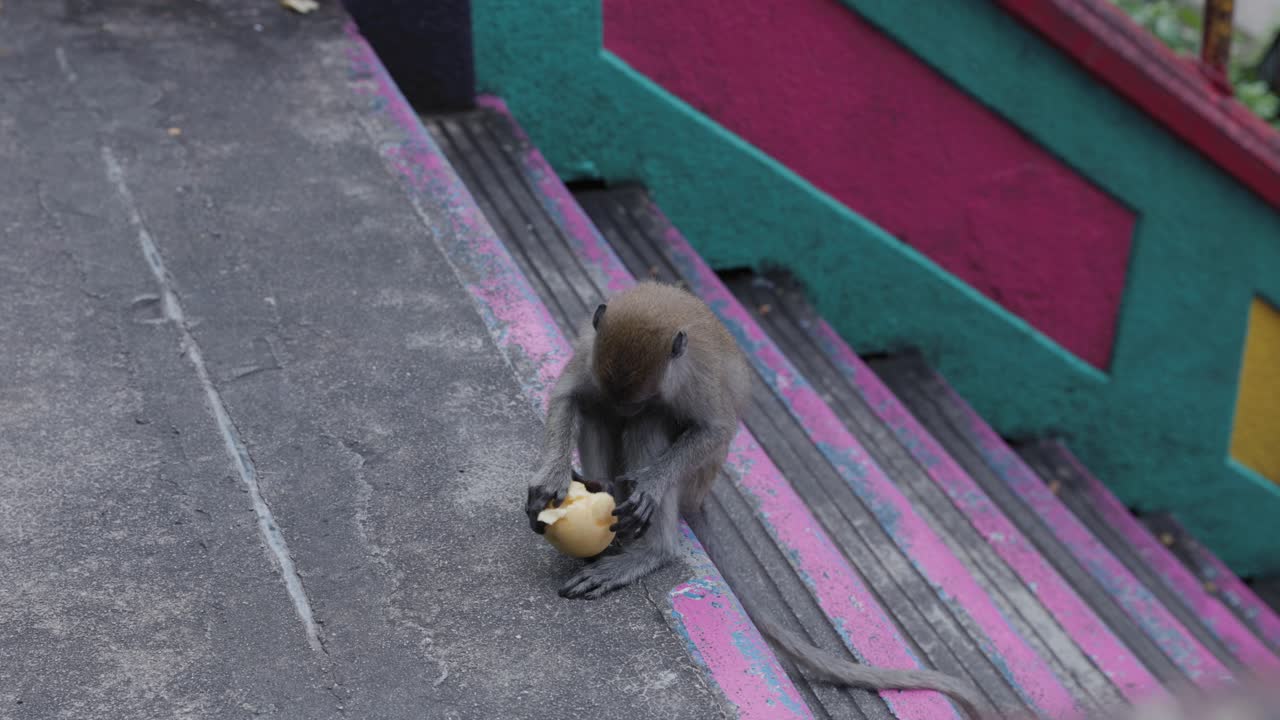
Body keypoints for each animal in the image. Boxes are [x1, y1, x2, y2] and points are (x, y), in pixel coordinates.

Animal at [525, 281, 988, 718]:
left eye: (638, 398)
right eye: (621, 393)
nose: (627, 408)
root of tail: (701, 497)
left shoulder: (693, 380)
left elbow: (713, 429)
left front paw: (652, 484)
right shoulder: (591, 354)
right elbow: (572, 396)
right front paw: (551, 480)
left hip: (699, 476)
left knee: (652, 425)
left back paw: (655, 548)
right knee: (596, 410)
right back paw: (603, 491)